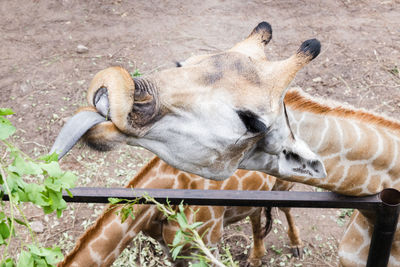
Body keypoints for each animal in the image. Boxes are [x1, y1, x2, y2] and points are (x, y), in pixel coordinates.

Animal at [57, 156, 298, 266]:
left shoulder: (210, 242)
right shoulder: (170, 247)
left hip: (283, 183)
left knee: (286, 206)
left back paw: (296, 246)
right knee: (256, 214)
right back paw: (254, 258)